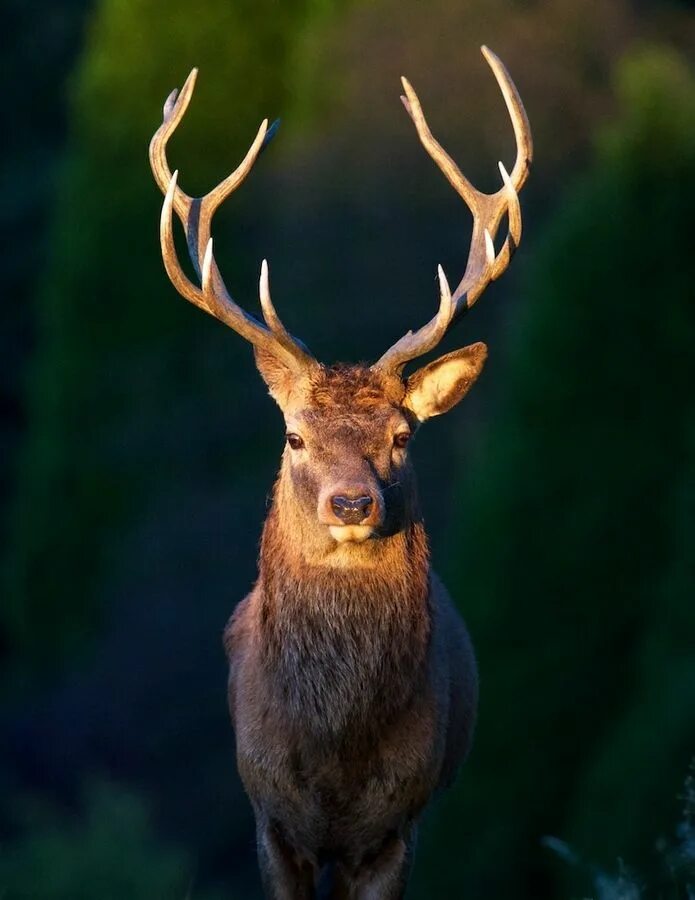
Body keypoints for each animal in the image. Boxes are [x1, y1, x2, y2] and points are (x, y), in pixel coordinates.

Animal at [151, 45, 532, 900]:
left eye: (402, 435)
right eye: (293, 437)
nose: (352, 503)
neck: (334, 757)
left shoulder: (399, 825)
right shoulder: (269, 817)